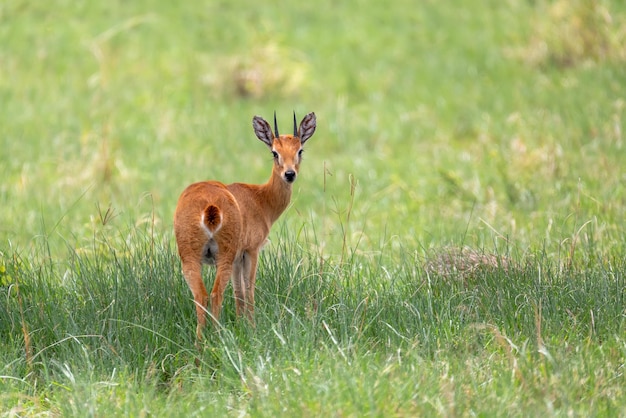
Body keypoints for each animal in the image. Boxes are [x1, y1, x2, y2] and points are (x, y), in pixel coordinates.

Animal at [173, 112, 314, 342]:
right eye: (274, 152)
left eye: (299, 150)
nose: (290, 174)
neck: (260, 199)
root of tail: (210, 207)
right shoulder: (251, 251)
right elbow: (249, 289)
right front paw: (252, 328)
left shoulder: (238, 259)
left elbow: (238, 292)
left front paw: (241, 325)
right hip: (223, 255)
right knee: (216, 293)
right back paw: (217, 337)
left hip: (190, 257)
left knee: (200, 295)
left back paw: (200, 343)